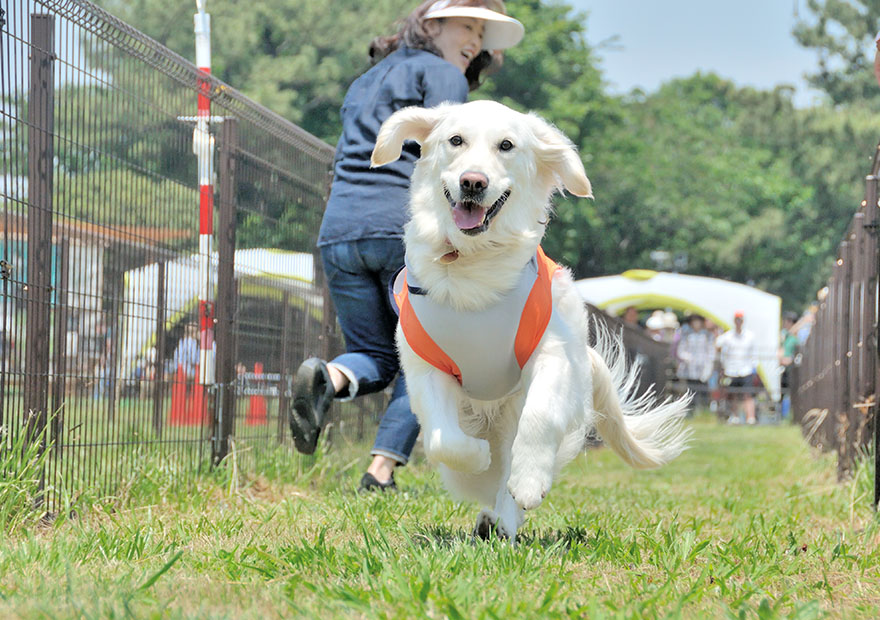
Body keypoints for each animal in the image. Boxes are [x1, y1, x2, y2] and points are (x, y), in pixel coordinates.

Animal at [370, 100, 688, 536]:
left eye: (506, 145)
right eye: (456, 140)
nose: (473, 182)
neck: (473, 268)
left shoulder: (553, 354)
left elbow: (539, 418)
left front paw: (529, 481)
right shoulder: (425, 367)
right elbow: (444, 441)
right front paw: (476, 454)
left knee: (511, 456)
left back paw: (505, 517)